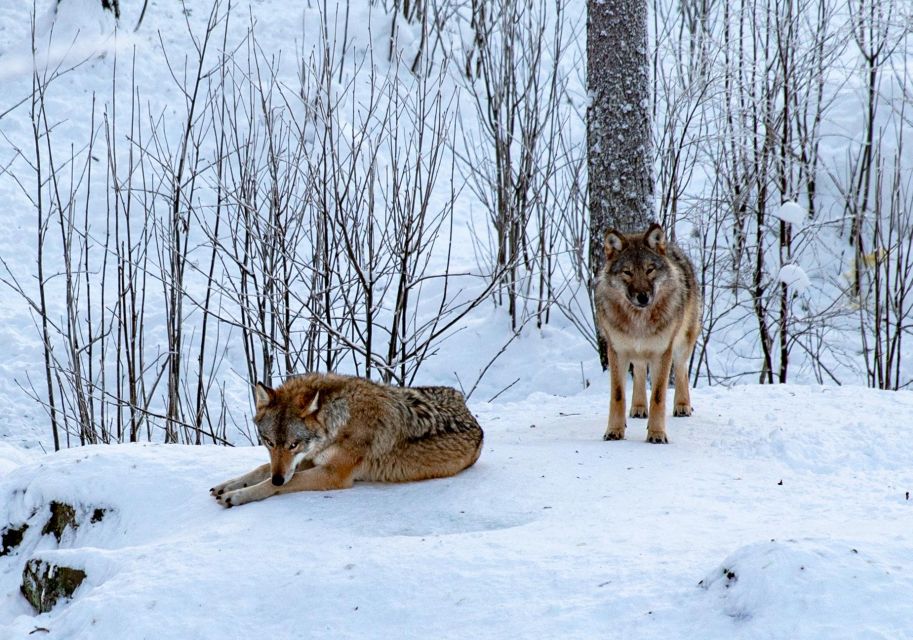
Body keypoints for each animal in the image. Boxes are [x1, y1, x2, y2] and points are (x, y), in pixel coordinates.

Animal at [211, 372, 484, 508]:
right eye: (269, 442)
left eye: (293, 444)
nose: (279, 479)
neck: (340, 419)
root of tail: (469, 410)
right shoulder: (309, 459)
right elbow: (262, 468)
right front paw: (229, 485)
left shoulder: (333, 474)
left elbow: (279, 482)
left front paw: (237, 496)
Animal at [596, 225, 700, 444]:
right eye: (627, 272)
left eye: (649, 269)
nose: (643, 297)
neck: (639, 320)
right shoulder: (617, 351)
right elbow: (618, 396)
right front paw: (614, 431)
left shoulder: (662, 352)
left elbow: (658, 397)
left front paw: (657, 434)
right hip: (638, 353)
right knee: (640, 372)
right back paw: (638, 408)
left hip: (682, 345)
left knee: (682, 370)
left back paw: (682, 406)